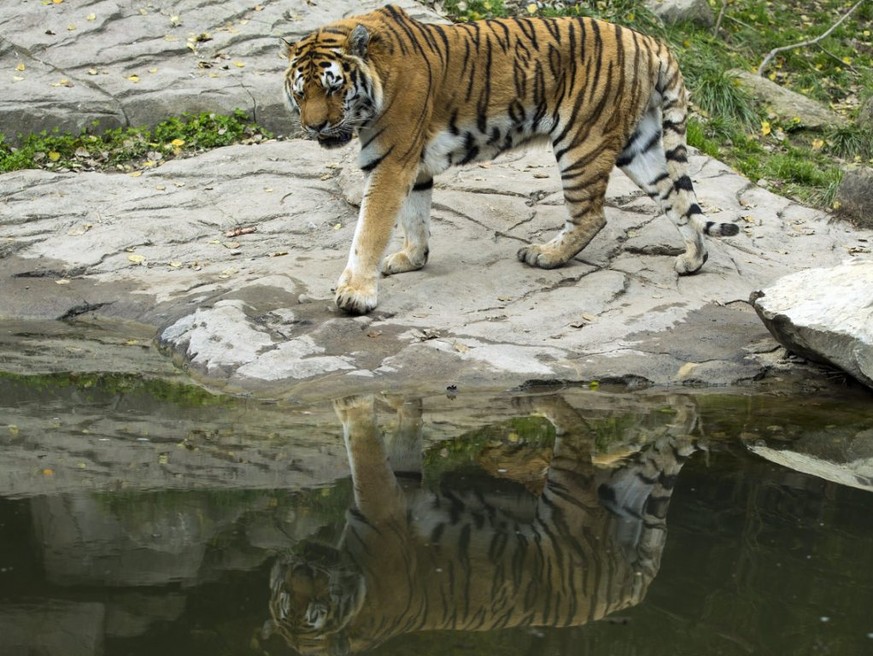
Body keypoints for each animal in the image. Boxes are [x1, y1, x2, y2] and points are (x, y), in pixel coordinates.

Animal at [262, 392, 700, 652]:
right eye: (285, 595)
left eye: (317, 608)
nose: (302, 568)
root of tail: (632, 588)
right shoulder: (400, 492)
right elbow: (403, 446)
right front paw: (403, 405)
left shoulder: (380, 508)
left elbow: (363, 449)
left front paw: (352, 406)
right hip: (634, 488)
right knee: (673, 443)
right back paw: (682, 408)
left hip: (566, 499)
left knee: (579, 427)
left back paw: (532, 400)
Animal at [282, 3, 740, 314]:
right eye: (301, 93)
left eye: (334, 87)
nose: (315, 127)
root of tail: (648, 40)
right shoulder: (413, 165)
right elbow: (416, 218)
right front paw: (411, 259)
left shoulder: (391, 162)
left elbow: (370, 231)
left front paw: (355, 294)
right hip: (639, 144)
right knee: (677, 198)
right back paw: (692, 260)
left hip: (582, 141)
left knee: (592, 215)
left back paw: (545, 255)